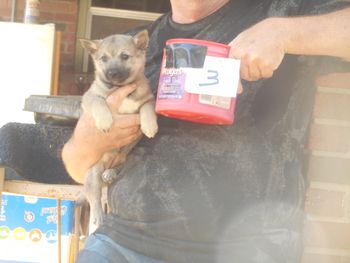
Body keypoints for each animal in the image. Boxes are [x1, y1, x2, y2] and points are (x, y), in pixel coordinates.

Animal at [80, 30, 158, 229]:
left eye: (125, 56)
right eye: (103, 59)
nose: (112, 73)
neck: (121, 89)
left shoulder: (148, 99)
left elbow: (148, 109)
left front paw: (149, 125)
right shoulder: (89, 96)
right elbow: (99, 102)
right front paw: (105, 121)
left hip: (124, 158)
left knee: (116, 170)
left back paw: (110, 173)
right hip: (93, 175)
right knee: (94, 200)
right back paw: (97, 217)